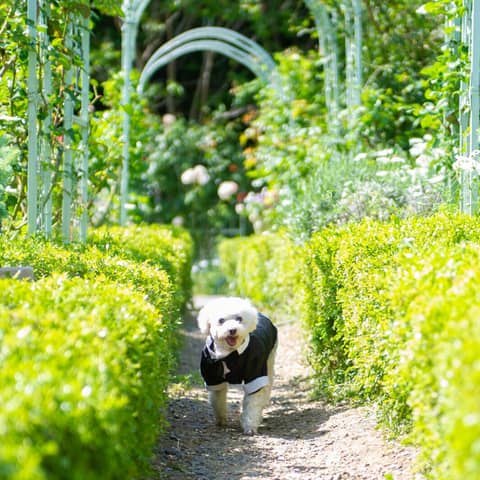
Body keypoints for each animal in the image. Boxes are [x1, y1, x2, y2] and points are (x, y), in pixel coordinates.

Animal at [197, 296, 278, 436]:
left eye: (239, 319)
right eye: (221, 320)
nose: (232, 330)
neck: (229, 354)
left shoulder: (255, 372)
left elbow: (252, 403)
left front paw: (250, 426)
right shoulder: (213, 377)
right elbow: (217, 400)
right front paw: (221, 420)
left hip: (269, 361)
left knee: (266, 387)